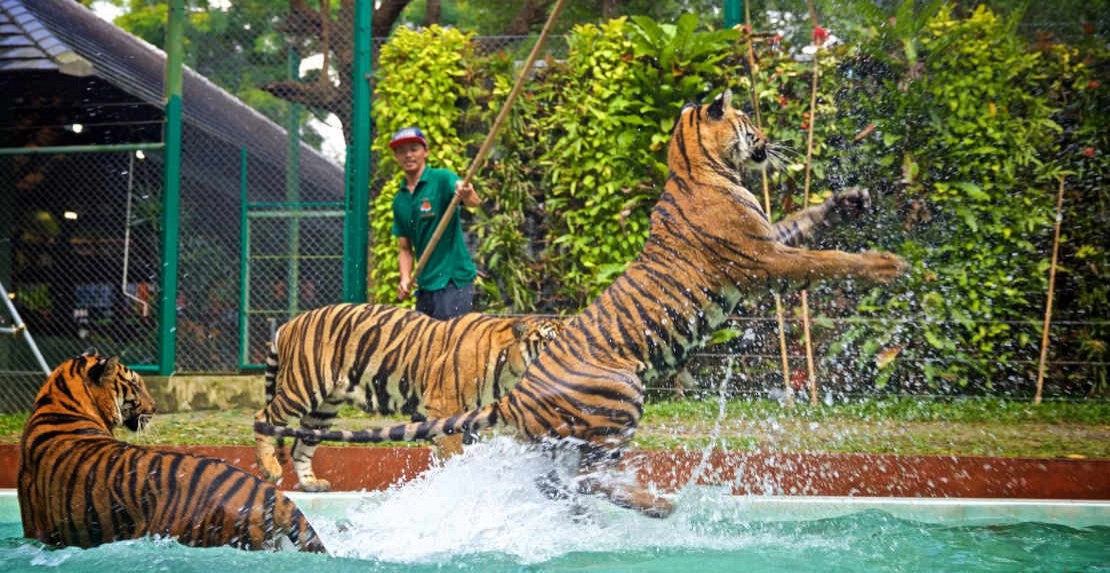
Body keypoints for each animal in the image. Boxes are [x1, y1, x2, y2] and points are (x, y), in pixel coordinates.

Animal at [251, 88, 901, 515]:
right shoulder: (763, 258)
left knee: (564, 481)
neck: (697, 162)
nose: (769, 141)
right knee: (589, 478)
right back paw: (660, 503)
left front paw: (848, 200)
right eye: (748, 120)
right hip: (621, 396)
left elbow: (809, 220)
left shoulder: (769, 242)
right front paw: (886, 265)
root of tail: (517, 394)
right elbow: (826, 259)